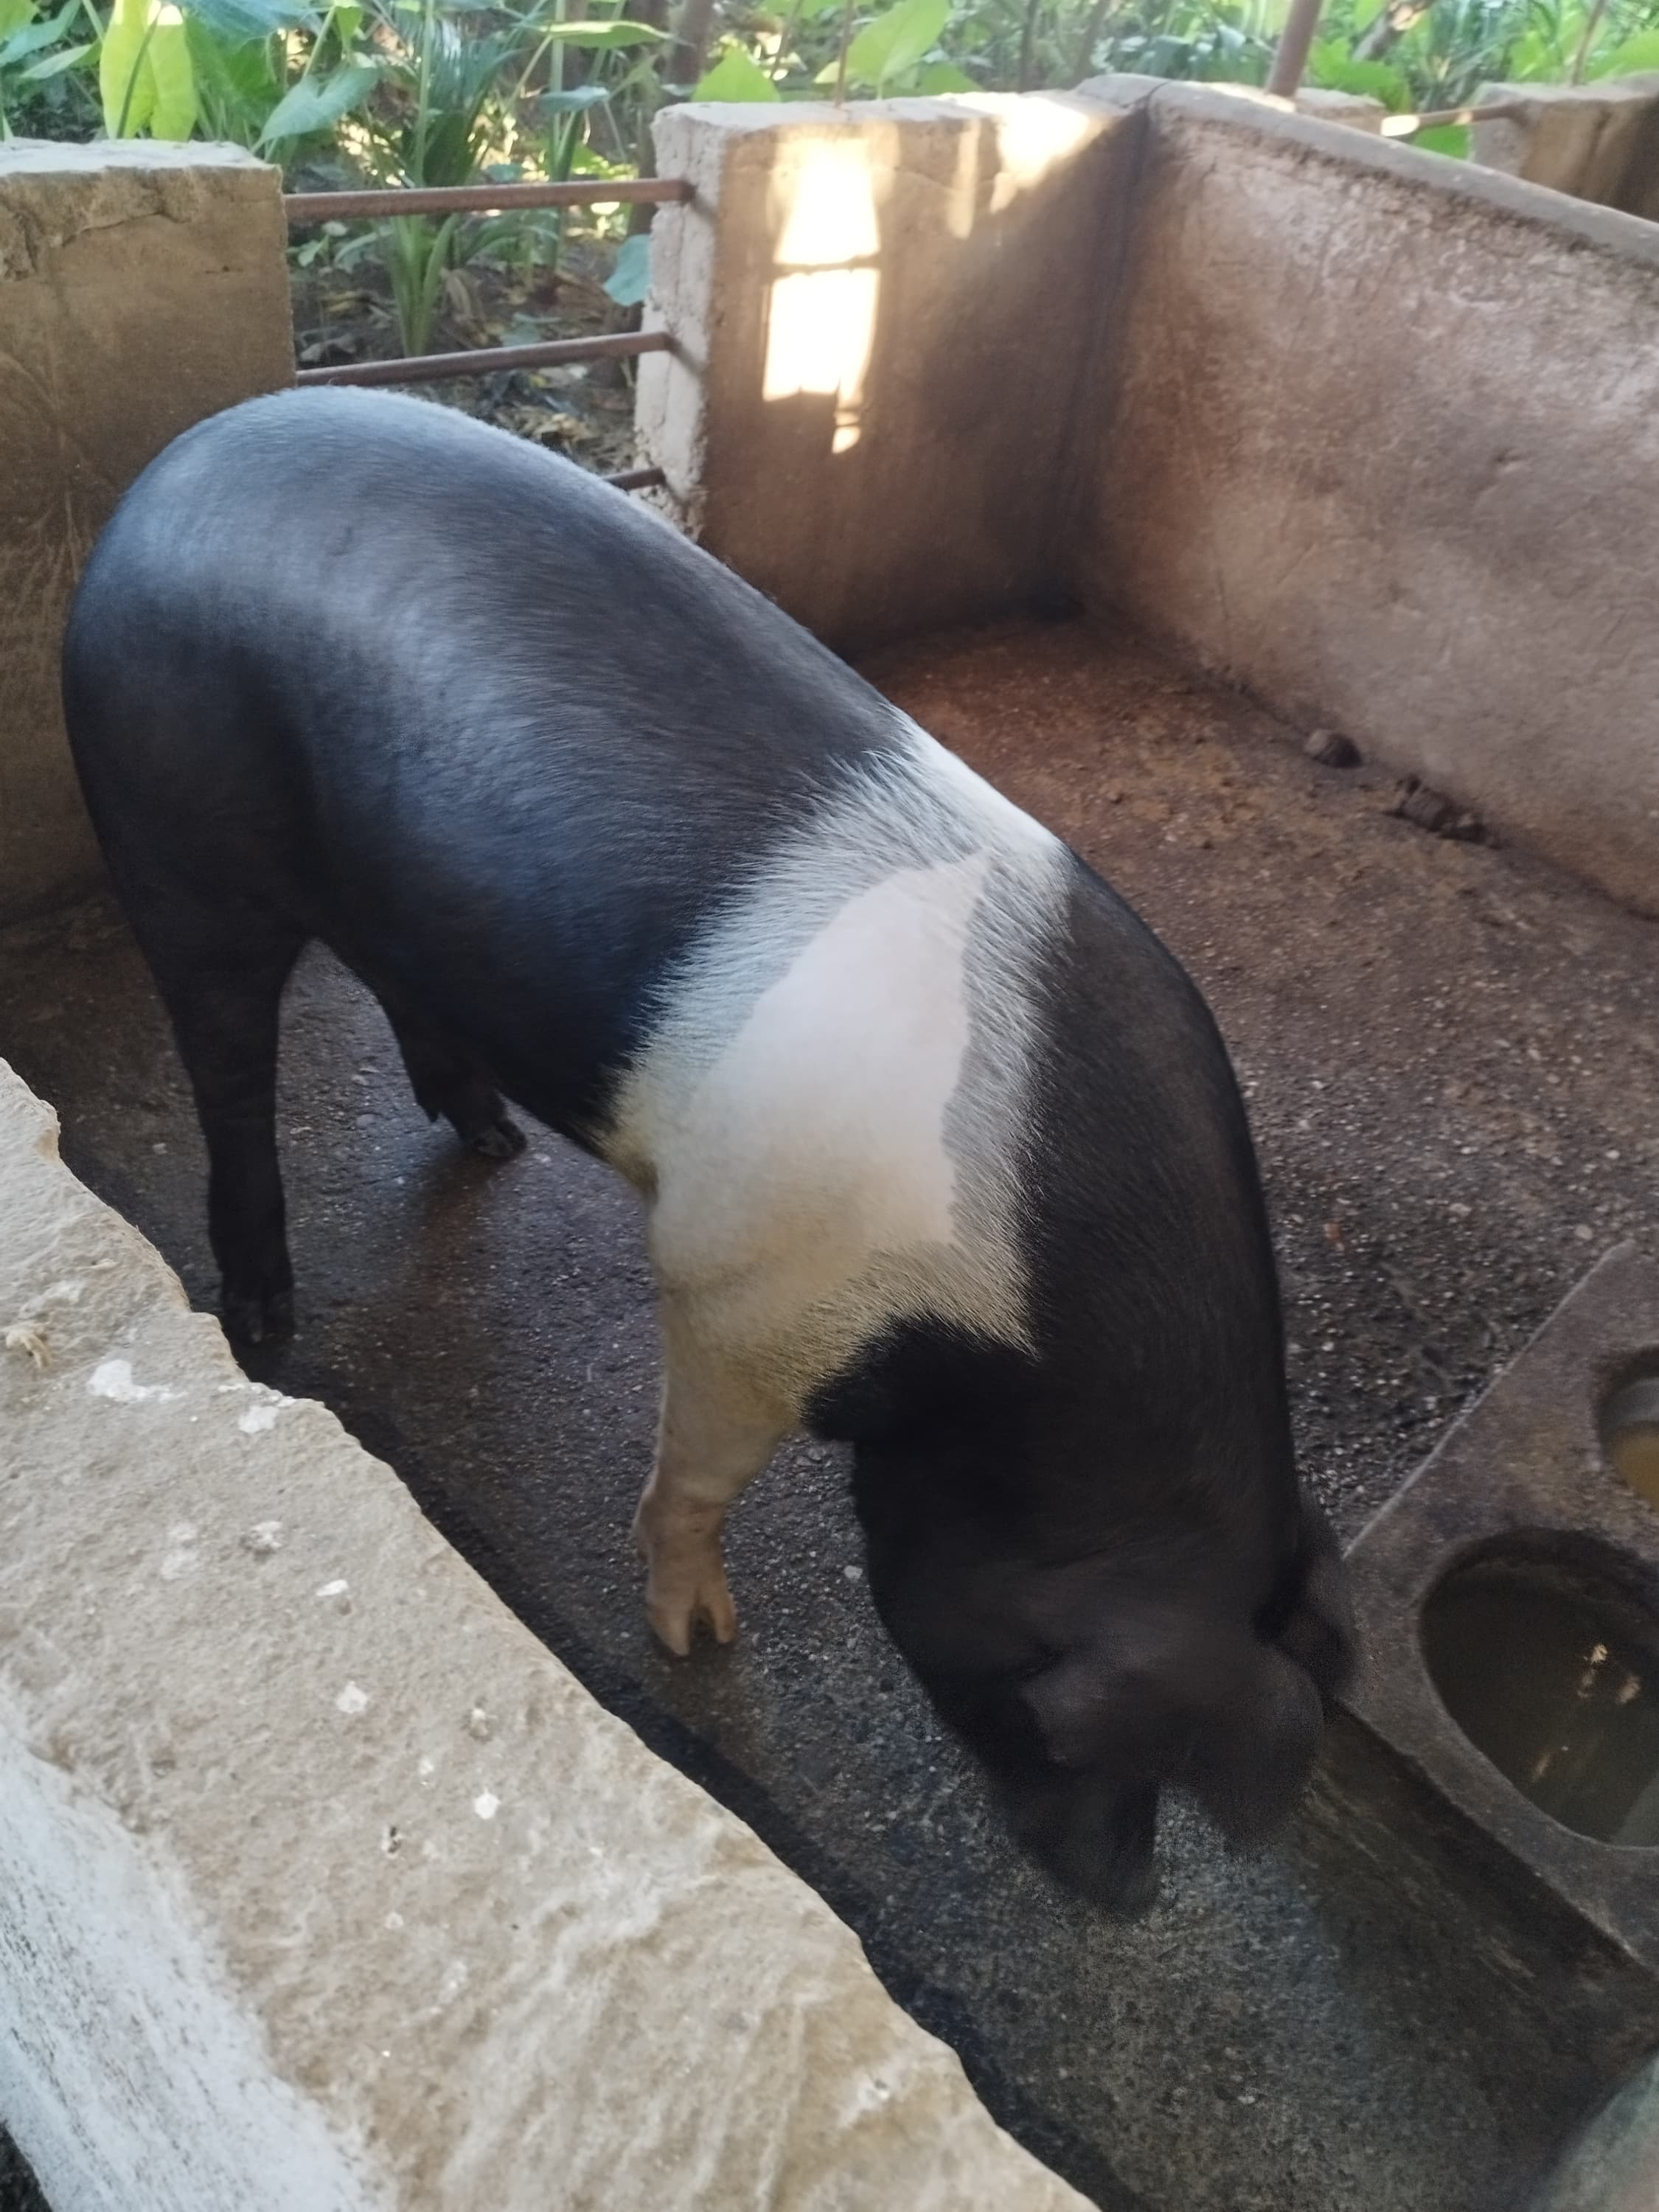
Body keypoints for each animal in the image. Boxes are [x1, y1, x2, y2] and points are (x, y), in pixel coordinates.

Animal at [62, 387, 1355, 1912]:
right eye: (1051, 1716)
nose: (1130, 1897)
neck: (1006, 1357)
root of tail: (162, 476)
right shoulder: (742, 1287)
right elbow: (701, 1472)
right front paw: (700, 1643)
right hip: (177, 841)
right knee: (228, 1066)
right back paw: (266, 1320)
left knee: (399, 985)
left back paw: (496, 1143)